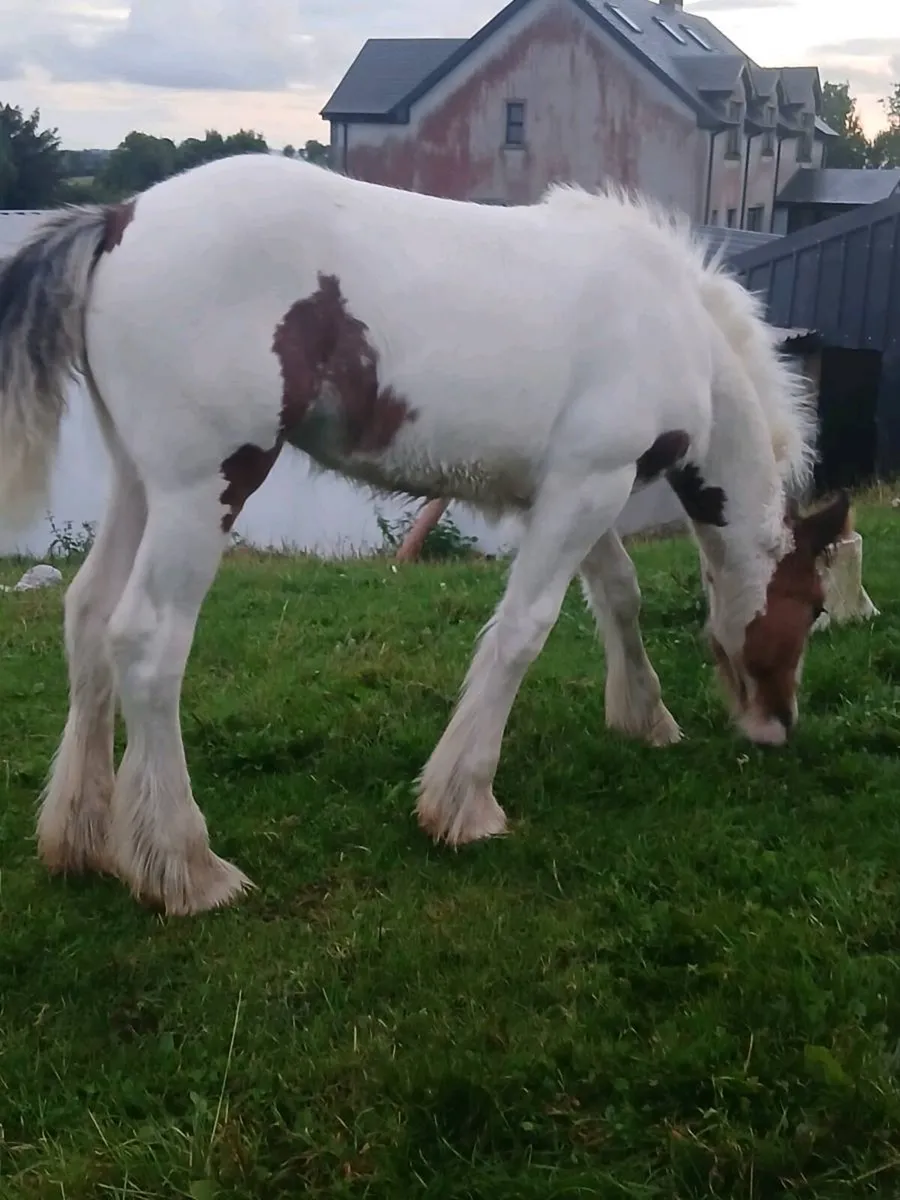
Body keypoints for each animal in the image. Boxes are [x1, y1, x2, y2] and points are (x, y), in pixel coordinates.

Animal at [0, 154, 848, 916]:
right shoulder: (589, 484)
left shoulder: (564, 492)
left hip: (139, 484)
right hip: (203, 490)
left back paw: (82, 839)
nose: (779, 725)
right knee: (146, 642)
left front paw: (645, 718)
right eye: (813, 607)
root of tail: (119, 218)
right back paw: (186, 868)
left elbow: (617, 593)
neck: (677, 326)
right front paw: (464, 805)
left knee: (88, 616)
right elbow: (525, 629)